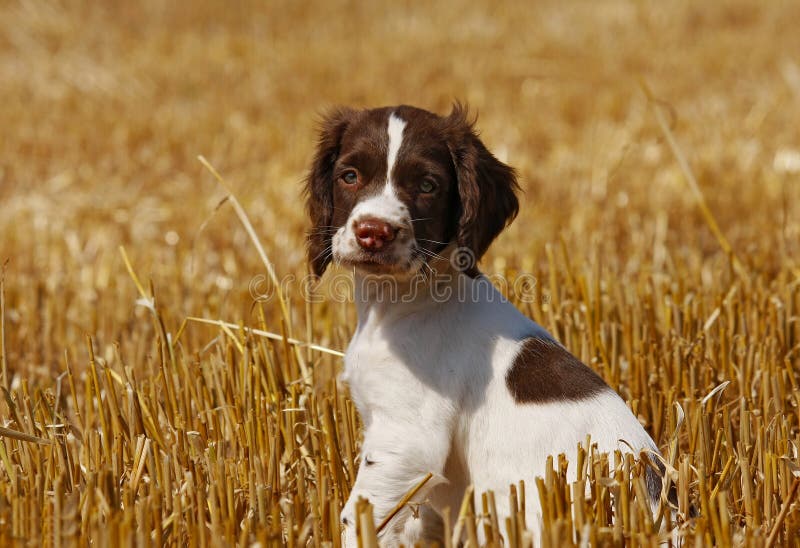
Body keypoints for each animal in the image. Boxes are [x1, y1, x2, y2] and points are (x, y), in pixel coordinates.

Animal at [304, 105, 664, 544]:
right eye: (350, 175)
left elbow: (360, 515)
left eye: (427, 185)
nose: (373, 232)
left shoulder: (407, 437)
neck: (401, 302)